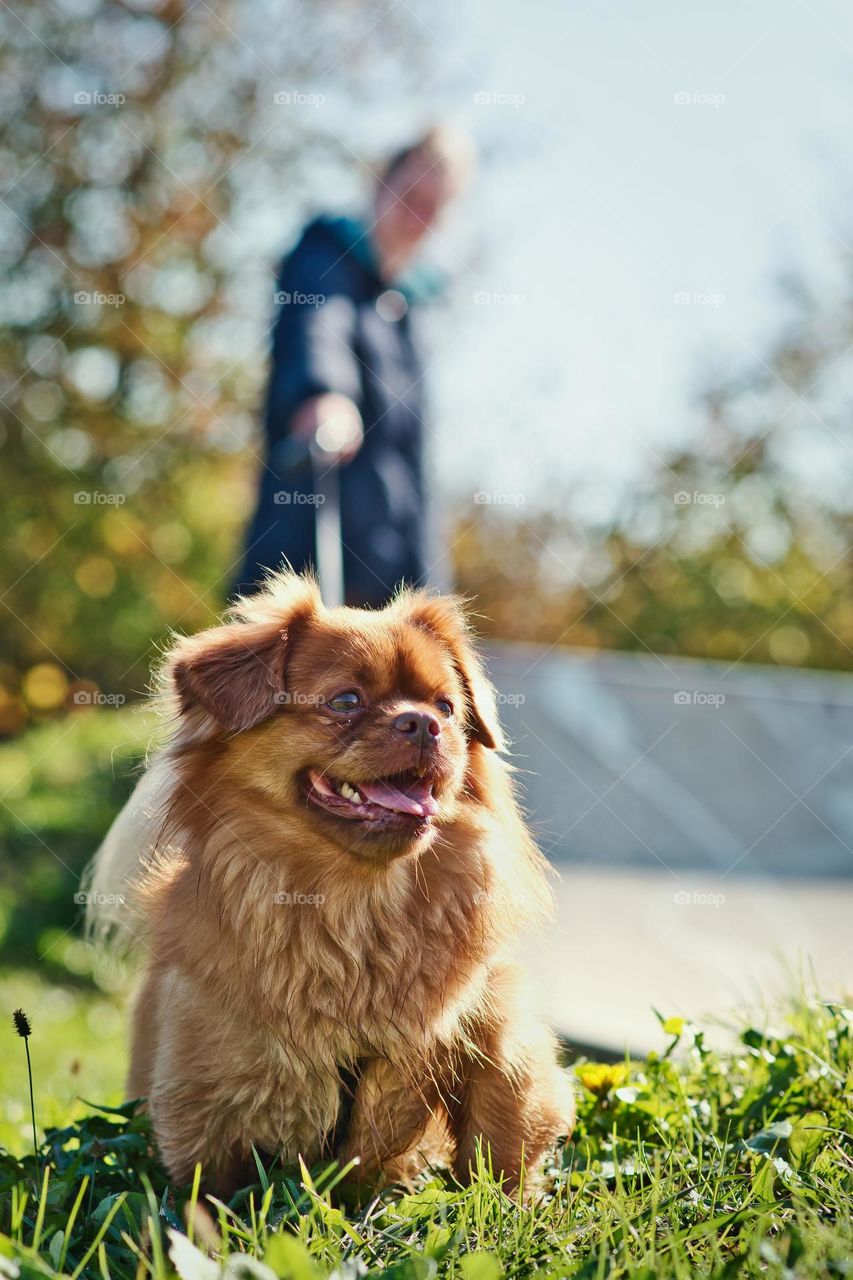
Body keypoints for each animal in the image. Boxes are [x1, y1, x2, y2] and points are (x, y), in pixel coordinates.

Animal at [87, 576, 571, 1192]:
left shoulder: (495, 1029)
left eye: (446, 707)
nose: (422, 723)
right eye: (346, 702)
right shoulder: (201, 1103)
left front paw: (508, 1203)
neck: (353, 907)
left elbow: (499, 1137)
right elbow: (206, 1197)